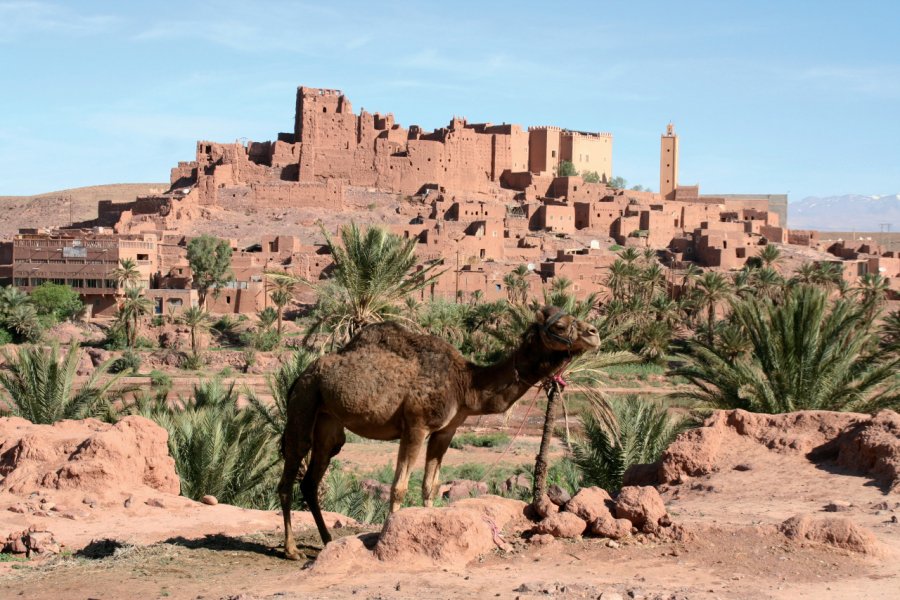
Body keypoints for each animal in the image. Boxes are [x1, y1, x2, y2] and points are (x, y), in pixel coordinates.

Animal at [274, 308, 596, 560]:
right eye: (559, 325)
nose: (595, 333)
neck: (466, 383)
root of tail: (299, 376)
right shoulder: (416, 425)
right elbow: (399, 487)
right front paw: (384, 543)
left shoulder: (445, 431)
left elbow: (430, 485)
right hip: (304, 404)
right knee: (290, 472)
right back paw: (292, 549)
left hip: (328, 424)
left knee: (312, 478)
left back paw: (327, 540)